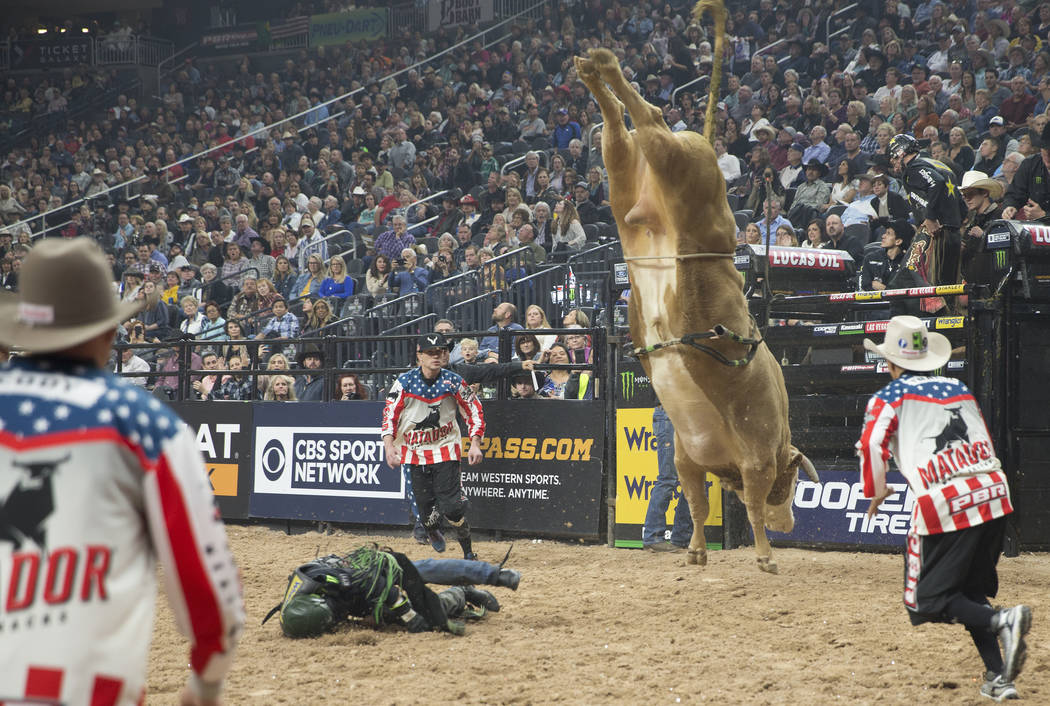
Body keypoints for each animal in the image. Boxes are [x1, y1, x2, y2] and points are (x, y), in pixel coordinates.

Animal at [579, 0, 814, 571]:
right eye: (795, 484)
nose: (793, 522)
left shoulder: (686, 455)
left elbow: (692, 496)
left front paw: (696, 551)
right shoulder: (756, 457)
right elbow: (745, 504)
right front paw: (765, 555)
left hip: (624, 184)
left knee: (620, 131)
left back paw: (594, 71)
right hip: (687, 169)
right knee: (651, 118)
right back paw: (602, 65)